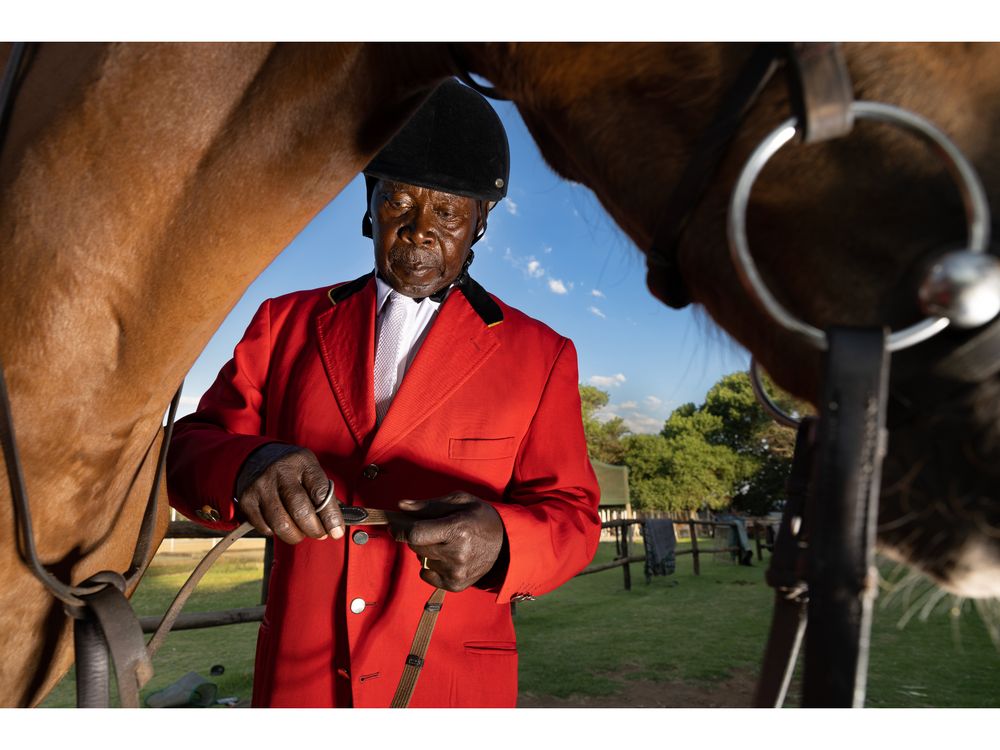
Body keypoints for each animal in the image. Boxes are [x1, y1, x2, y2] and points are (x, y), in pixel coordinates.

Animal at [1, 44, 1000, 708]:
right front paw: (282, 481)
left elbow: (556, 512)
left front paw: (466, 543)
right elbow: (216, 432)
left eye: (449, 213)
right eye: (400, 203)